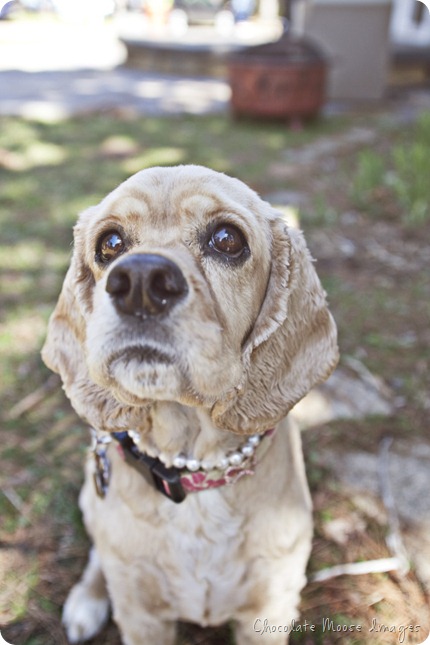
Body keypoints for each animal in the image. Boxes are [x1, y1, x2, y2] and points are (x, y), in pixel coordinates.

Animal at [43, 164, 340, 640]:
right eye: (110, 243)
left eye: (227, 239)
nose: (139, 282)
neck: (193, 470)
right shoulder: (143, 619)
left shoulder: (270, 610)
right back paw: (87, 599)